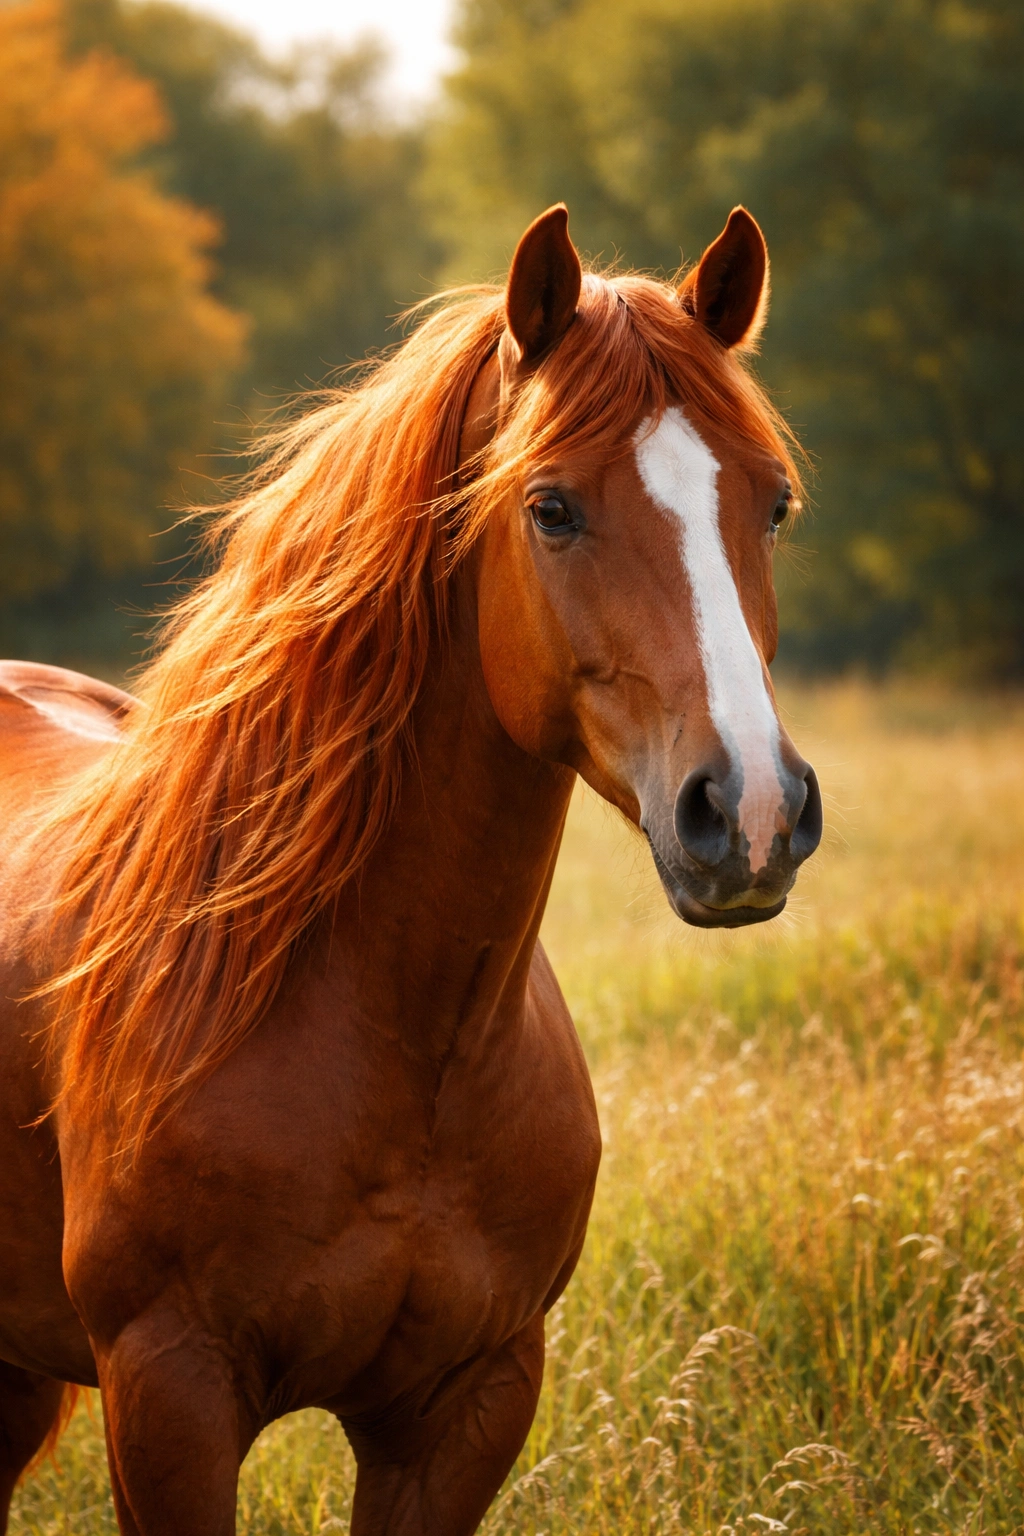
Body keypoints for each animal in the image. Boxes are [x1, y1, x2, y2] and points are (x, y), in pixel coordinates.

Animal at [0, 203, 822, 1535]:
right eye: (551, 507)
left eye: (775, 504)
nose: (747, 810)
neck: (395, 1037)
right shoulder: (170, 1396)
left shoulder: (466, 1404)